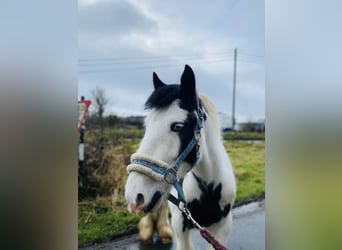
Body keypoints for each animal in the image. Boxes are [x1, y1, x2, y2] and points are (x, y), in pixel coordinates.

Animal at [125, 65, 235, 250]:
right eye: (147, 125)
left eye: (177, 126)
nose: (135, 195)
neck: (209, 188)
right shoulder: (180, 225)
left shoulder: (223, 227)